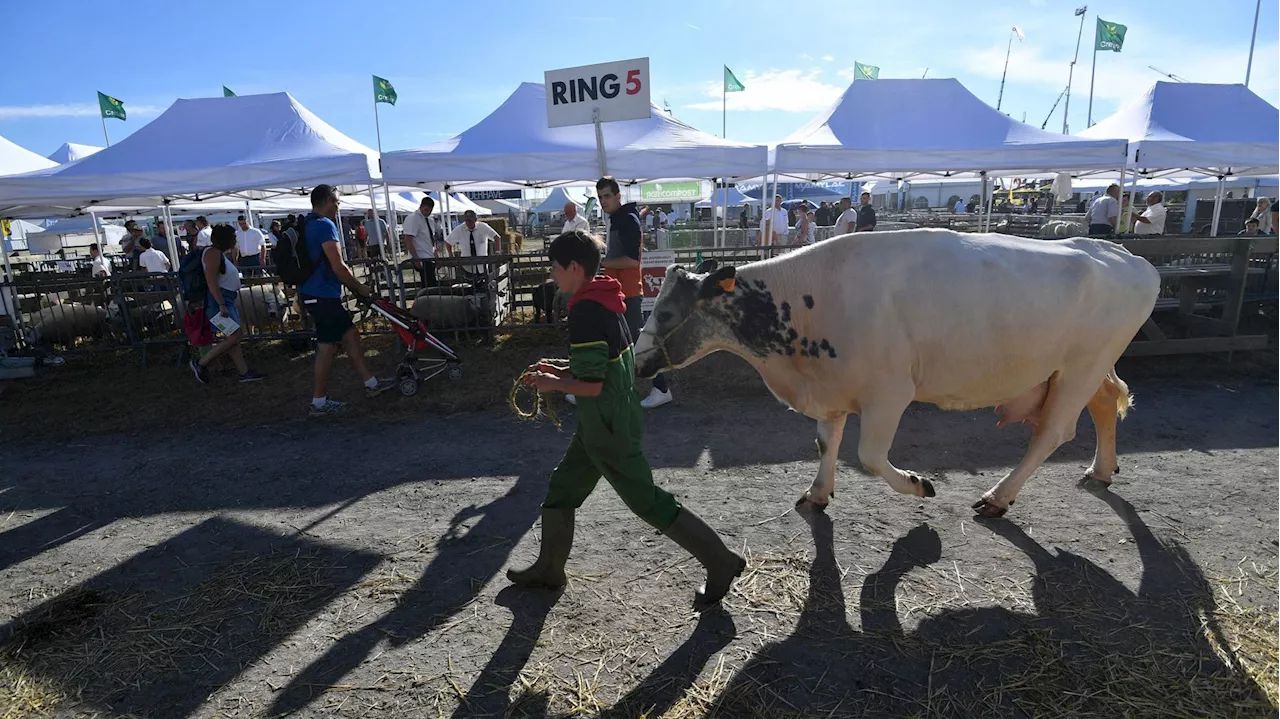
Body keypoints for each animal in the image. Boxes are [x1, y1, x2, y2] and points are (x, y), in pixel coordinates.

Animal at [637, 226, 1162, 511]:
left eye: (666, 313)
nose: (638, 360)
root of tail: (1124, 254)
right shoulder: (831, 387)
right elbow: (826, 444)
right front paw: (818, 493)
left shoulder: (889, 393)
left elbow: (869, 456)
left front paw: (916, 484)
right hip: (1086, 369)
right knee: (1104, 405)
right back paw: (1102, 469)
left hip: (1078, 369)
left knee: (1052, 433)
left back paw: (998, 496)